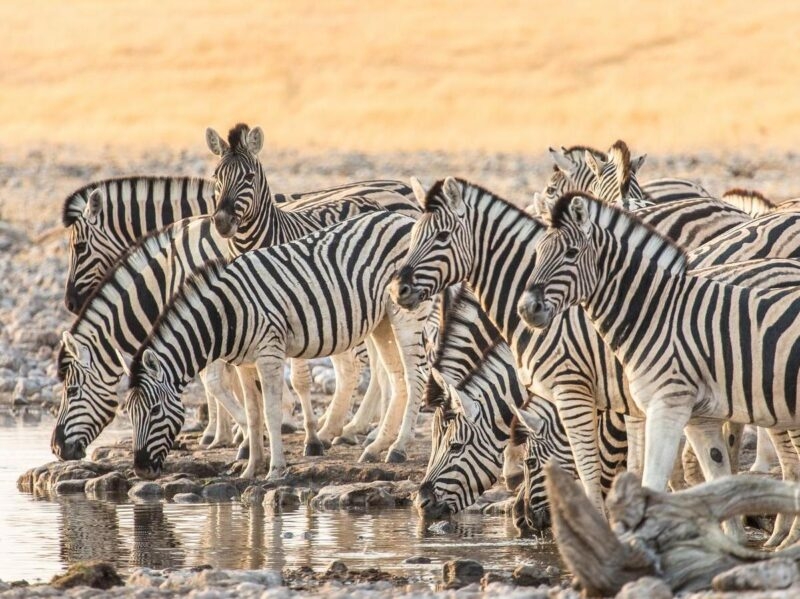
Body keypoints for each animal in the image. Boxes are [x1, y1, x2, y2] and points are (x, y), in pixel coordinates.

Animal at [124, 211, 430, 480]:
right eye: (129, 413)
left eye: (154, 410)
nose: (141, 470)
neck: (226, 314)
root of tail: (403, 218)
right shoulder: (244, 364)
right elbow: (253, 413)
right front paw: (251, 469)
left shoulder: (269, 353)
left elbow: (271, 412)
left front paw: (275, 470)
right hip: (382, 322)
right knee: (397, 377)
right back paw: (378, 446)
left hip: (405, 314)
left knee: (415, 377)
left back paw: (398, 448)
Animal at [516, 193, 800, 545]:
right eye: (537, 253)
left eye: (570, 253)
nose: (527, 309)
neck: (655, 314)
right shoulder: (696, 415)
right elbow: (710, 472)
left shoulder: (667, 405)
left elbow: (653, 477)